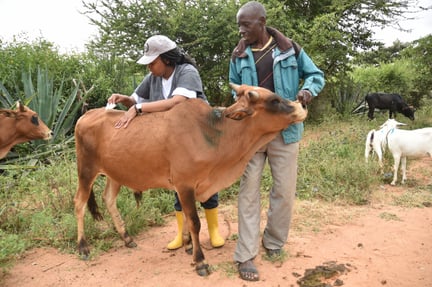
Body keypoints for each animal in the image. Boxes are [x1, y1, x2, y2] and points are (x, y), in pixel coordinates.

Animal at [73, 83, 308, 276]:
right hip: (86, 170)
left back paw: (127, 238)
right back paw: (83, 247)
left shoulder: (190, 186)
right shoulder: (185, 184)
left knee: (108, 199)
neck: (213, 134)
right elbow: (195, 221)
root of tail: (86, 115)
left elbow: (187, 217)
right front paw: (200, 261)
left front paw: (187, 245)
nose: (301, 105)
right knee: (79, 203)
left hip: (116, 173)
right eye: (274, 100)